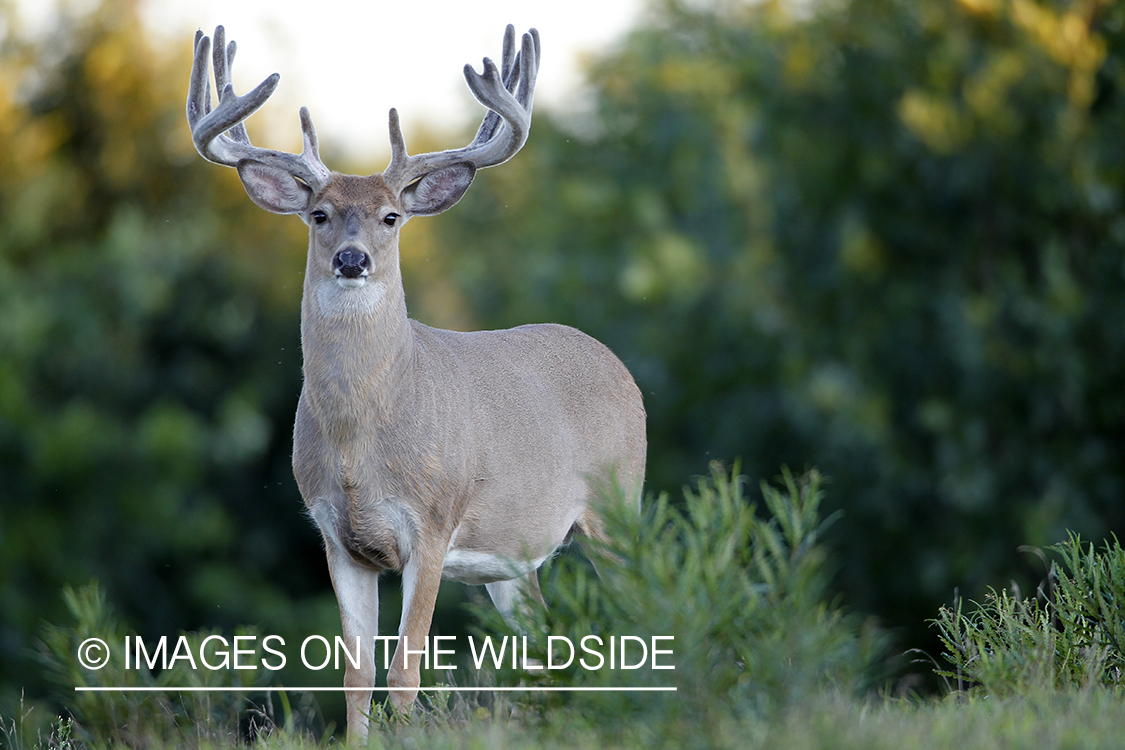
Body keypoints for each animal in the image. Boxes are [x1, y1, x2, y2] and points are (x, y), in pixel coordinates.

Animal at [187, 23, 648, 737]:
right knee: (541, 648)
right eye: (320, 214)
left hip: (616, 504)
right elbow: (355, 676)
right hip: (512, 556)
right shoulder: (336, 536)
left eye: (390, 217)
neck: (362, 440)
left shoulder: (431, 524)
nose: (352, 260)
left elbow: (404, 674)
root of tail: (618, 365)